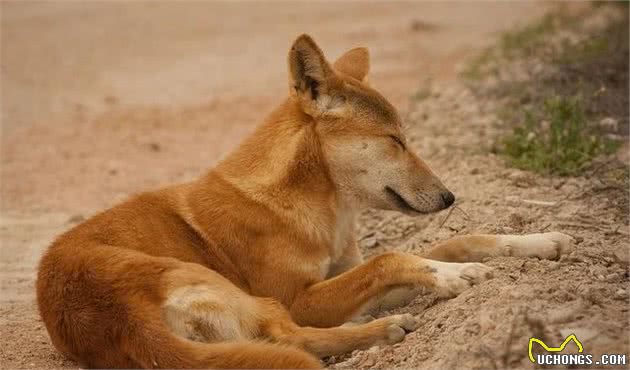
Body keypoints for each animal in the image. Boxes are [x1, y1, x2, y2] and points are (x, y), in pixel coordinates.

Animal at [37, 34, 576, 368]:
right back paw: (384, 331)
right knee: (290, 338)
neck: (314, 207)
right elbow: (391, 256)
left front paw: (538, 241)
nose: (449, 196)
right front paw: (454, 277)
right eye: (395, 141)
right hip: (249, 295)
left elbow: (460, 240)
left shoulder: (345, 275)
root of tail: (121, 322)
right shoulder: (303, 298)